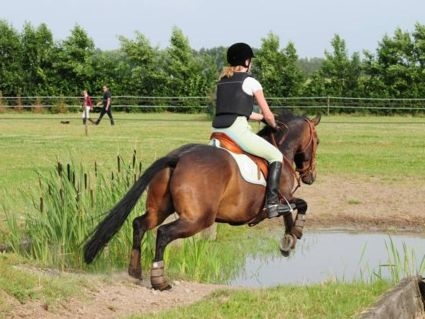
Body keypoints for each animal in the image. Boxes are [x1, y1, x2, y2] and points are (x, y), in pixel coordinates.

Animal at [84, 110, 320, 292]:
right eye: (317, 141)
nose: (311, 177)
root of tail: (178, 156)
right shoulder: (283, 198)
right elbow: (301, 205)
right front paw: (295, 232)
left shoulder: (284, 200)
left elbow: (291, 212)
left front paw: (289, 239)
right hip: (197, 219)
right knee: (163, 233)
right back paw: (160, 281)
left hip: (160, 209)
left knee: (140, 224)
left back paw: (134, 271)